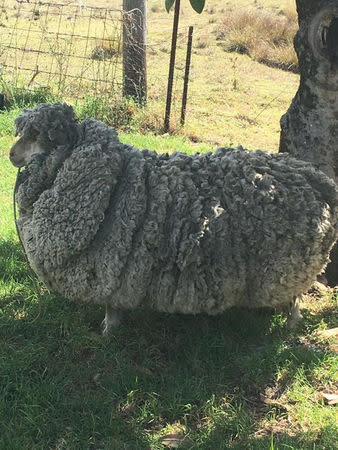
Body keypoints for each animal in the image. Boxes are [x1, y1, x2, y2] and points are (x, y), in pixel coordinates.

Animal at [9, 103, 336, 334]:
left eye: (37, 135)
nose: (11, 155)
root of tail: (315, 178)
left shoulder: (112, 267)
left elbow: (111, 308)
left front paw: (107, 332)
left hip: (288, 266)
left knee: (296, 299)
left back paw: (289, 326)